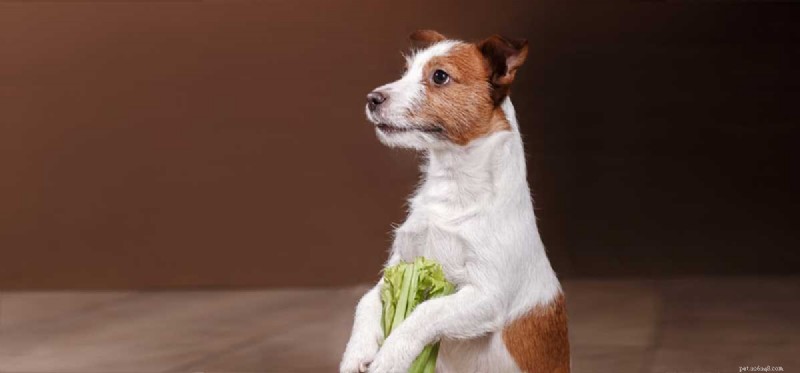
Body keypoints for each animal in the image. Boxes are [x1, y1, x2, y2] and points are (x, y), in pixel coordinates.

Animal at [340, 30, 572, 372]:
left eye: (439, 76)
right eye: (406, 71)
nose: (372, 98)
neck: (454, 188)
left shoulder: (486, 296)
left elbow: (424, 312)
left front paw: (391, 357)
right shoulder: (398, 266)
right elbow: (366, 301)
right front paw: (356, 353)